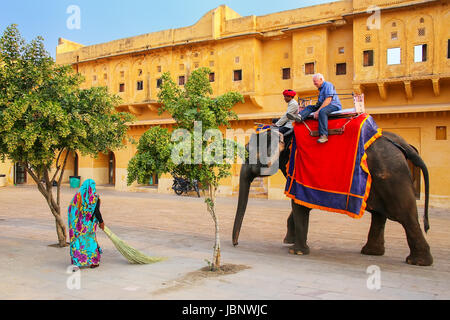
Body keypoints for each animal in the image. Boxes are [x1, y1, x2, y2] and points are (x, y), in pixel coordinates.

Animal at [232, 124, 432, 266]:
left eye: (249, 154)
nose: (235, 244)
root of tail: (405, 146)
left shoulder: (298, 166)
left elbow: (299, 204)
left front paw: (296, 251)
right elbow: (300, 202)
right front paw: (289, 241)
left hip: (392, 175)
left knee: (404, 215)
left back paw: (417, 262)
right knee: (379, 214)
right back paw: (371, 252)